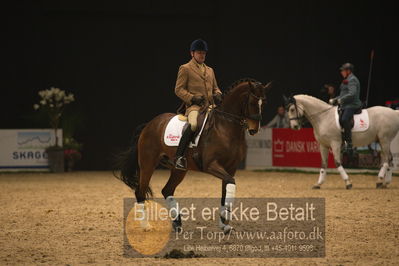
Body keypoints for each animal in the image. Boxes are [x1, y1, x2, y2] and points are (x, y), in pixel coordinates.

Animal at [115, 78, 272, 232]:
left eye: (264, 103)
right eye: (252, 102)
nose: (254, 129)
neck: (225, 128)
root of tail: (149, 125)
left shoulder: (231, 168)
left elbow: (226, 190)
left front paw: (224, 224)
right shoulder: (211, 165)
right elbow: (230, 183)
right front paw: (225, 219)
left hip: (179, 169)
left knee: (167, 190)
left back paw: (177, 223)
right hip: (148, 164)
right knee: (140, 192)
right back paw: (146, 226)